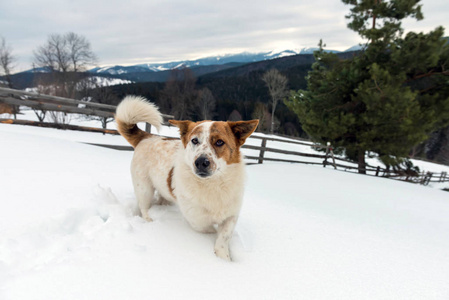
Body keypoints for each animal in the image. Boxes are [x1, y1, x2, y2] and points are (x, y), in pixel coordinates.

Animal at [114, 96, 258, 260]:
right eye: (194, 140)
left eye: (219, 142)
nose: (201, 162)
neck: (213, 184)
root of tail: (147, 137)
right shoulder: (196, 218)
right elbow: (208, 228)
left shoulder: (231, 214)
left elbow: (224, 236)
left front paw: (223, 257)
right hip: (144, 188)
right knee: (144, 206)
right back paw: (149, 219)